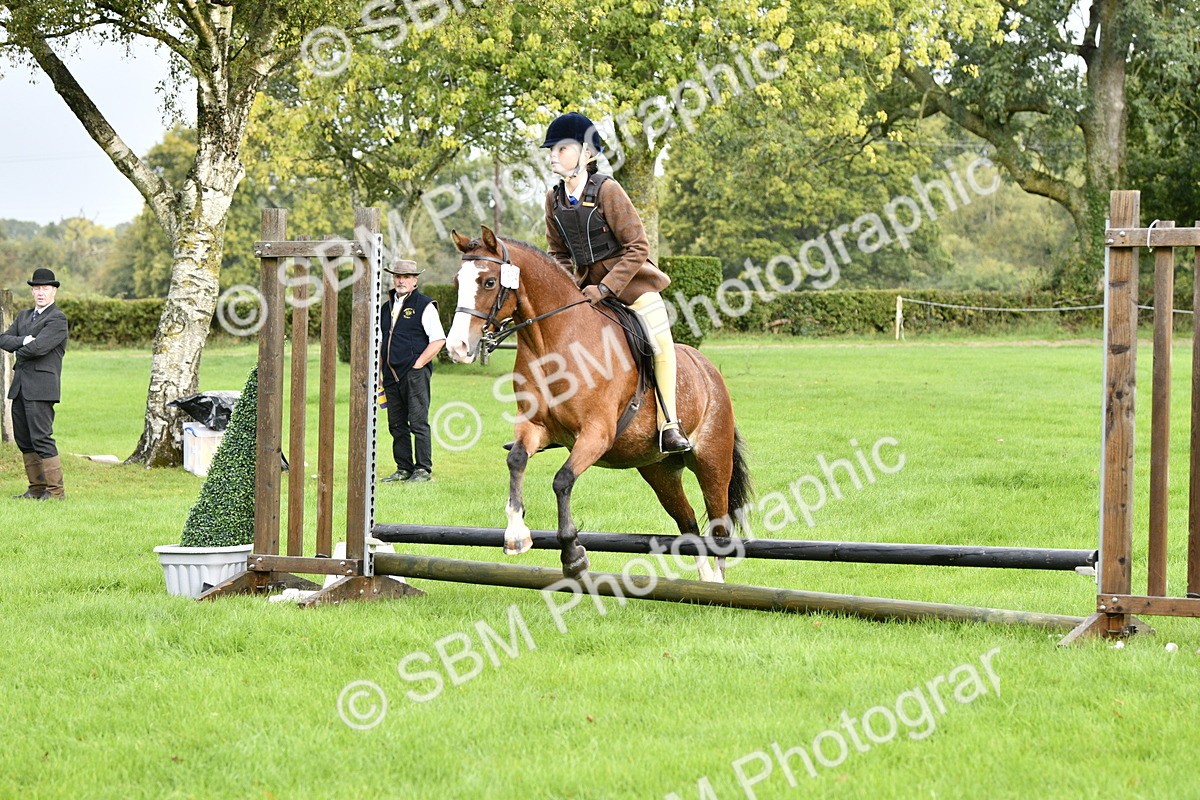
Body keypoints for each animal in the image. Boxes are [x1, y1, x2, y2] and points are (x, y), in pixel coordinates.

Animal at [445, 226, 752, 582]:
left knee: (719, 527)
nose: (457, 347)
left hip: (712, 461)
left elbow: (562, 480)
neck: (551, 343)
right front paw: (516, 535)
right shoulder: (536, 427)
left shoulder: (596, 433)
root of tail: (709, 369)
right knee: (688, 522)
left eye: (489, 282)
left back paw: (718, 583)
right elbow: (517, 461)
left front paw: (573, 556)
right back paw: (705, 581)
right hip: (659, 470)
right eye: (457, 281)